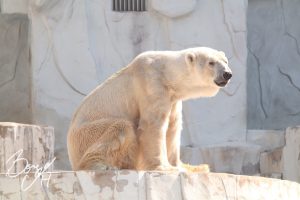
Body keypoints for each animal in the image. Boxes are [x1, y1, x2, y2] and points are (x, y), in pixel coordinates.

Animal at [67, 47, 232, 172]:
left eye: (226, 61)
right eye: (211, 62)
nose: (227, 74)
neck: (168, 73)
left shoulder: (172, 98)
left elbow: (173, 127)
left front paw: (184, 167)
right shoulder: (151, 83)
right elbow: (153, 125)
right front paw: (164, 167)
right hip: (85, 135)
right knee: (121, 126)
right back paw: (101, 165)